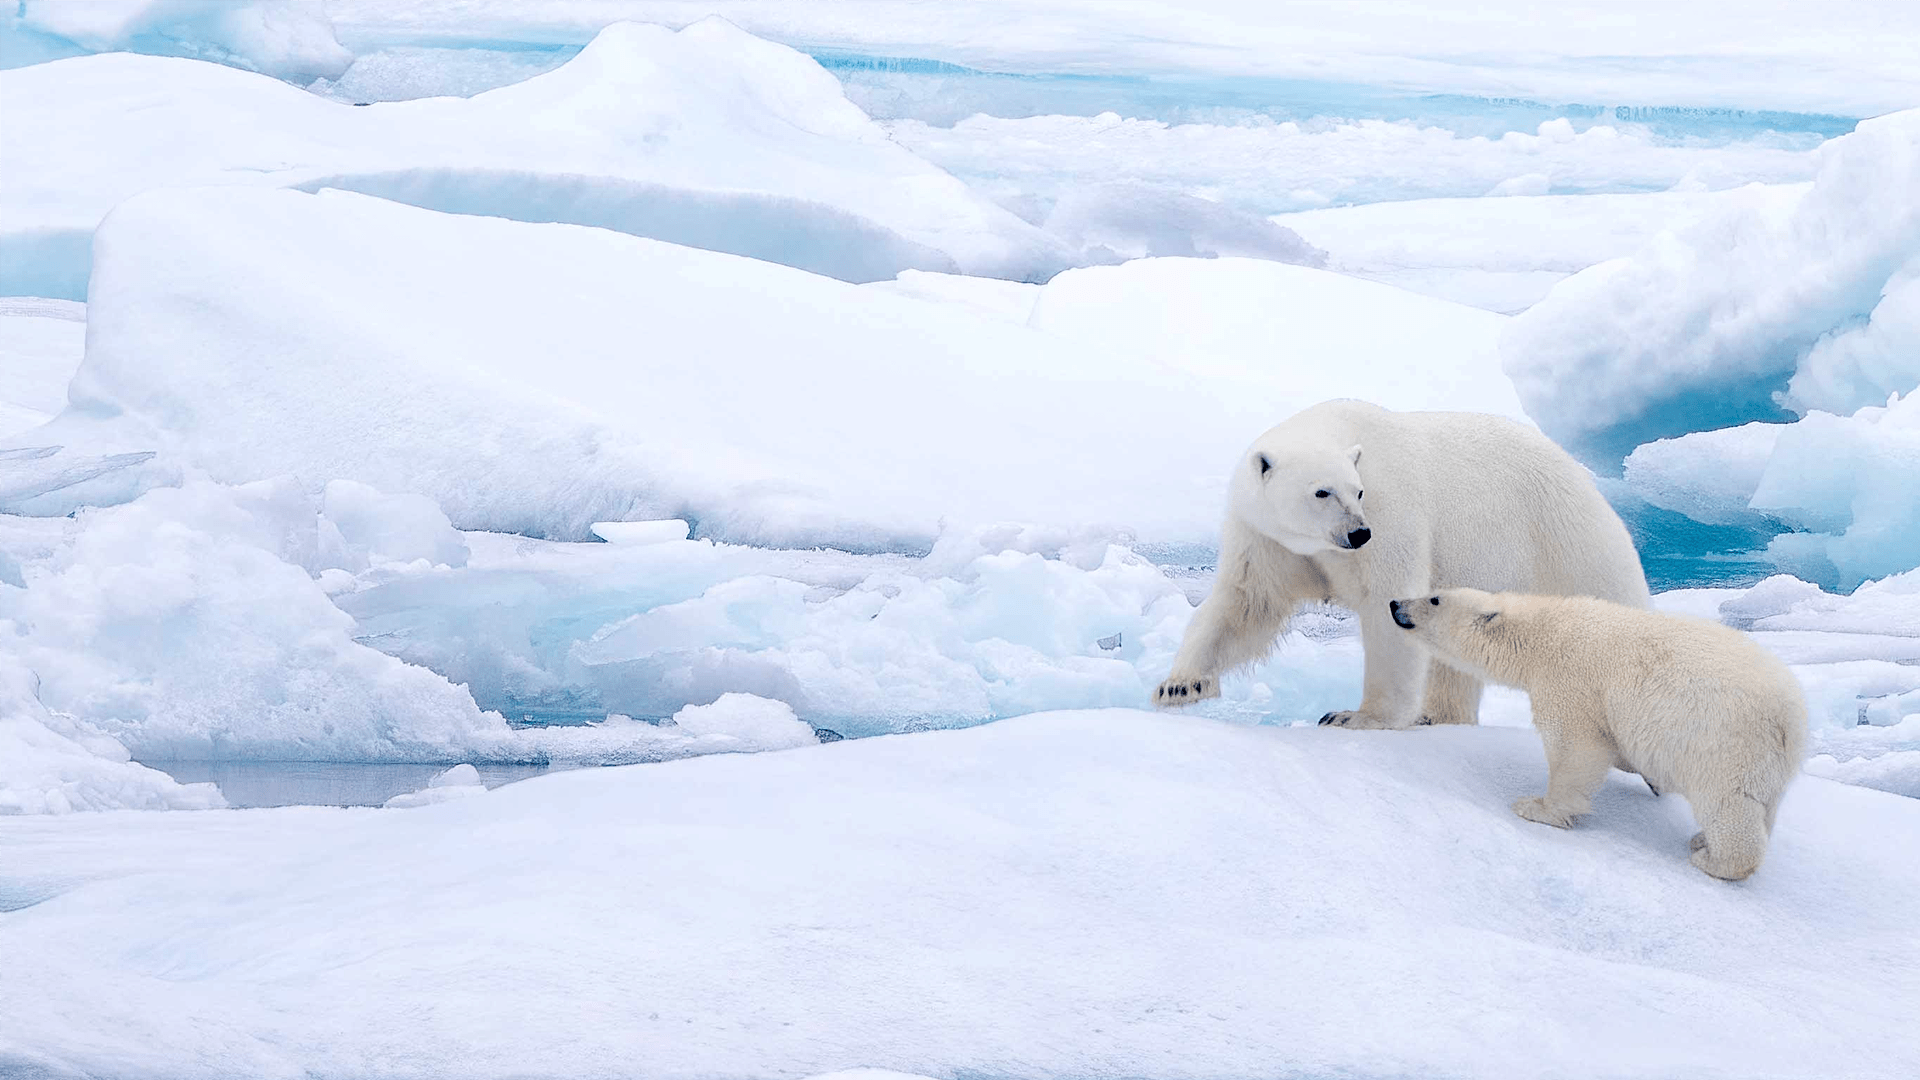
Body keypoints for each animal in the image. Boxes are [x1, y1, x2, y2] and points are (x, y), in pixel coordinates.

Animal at [1154, 399, 1648, 728]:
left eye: (1356, 491)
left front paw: (1355, 716)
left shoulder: (1391, 511)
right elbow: (1247, 602)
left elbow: (1386, 599)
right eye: (1321, 492)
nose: (1358, 533)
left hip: (1565, 543)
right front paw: (1179, 687)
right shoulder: (1267, 536)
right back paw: (1436, 717)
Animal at [1387, 587, 1807, 880]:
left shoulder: (1569, 680)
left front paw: (1536, 807)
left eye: (1435, 597)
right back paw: (1704, 838)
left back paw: (1712, 859)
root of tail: (1792, 718)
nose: (1394, 604)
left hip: (1723, 742)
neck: (1540, 634)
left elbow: (1576, 748)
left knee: (1730, 805)